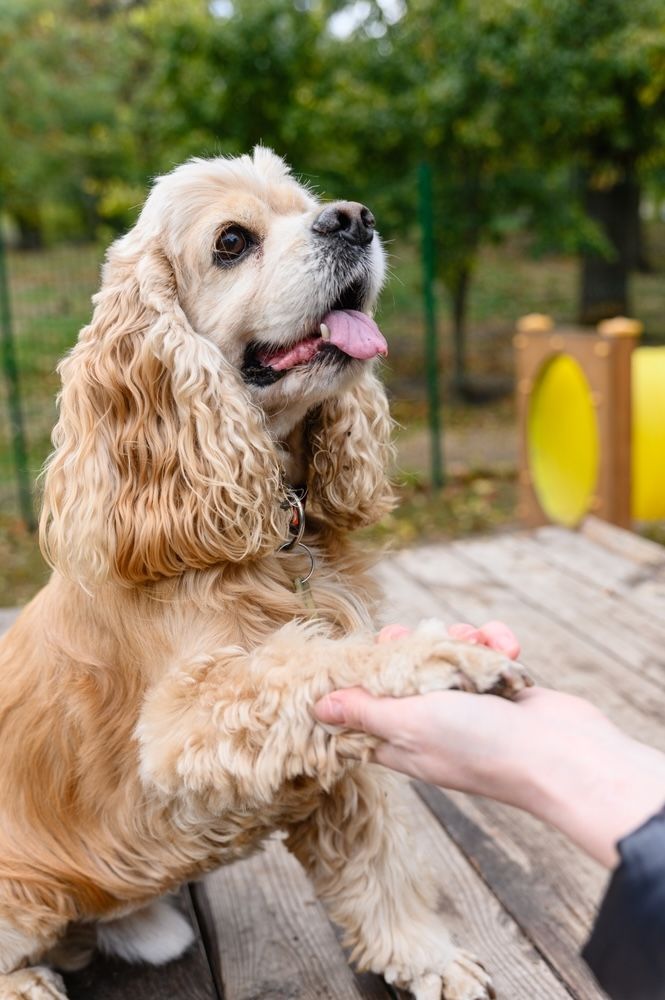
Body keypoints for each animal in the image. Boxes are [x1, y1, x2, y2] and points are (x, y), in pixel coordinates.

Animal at [1, 148, 528, 1000]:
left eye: (307, 205)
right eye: (231, 242)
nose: (354, 218)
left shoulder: (328, 768)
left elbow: (377, 862)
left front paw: (428, 957)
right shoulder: (186, 718)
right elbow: (318, 660)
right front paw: (446, 655)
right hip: (26, 892)